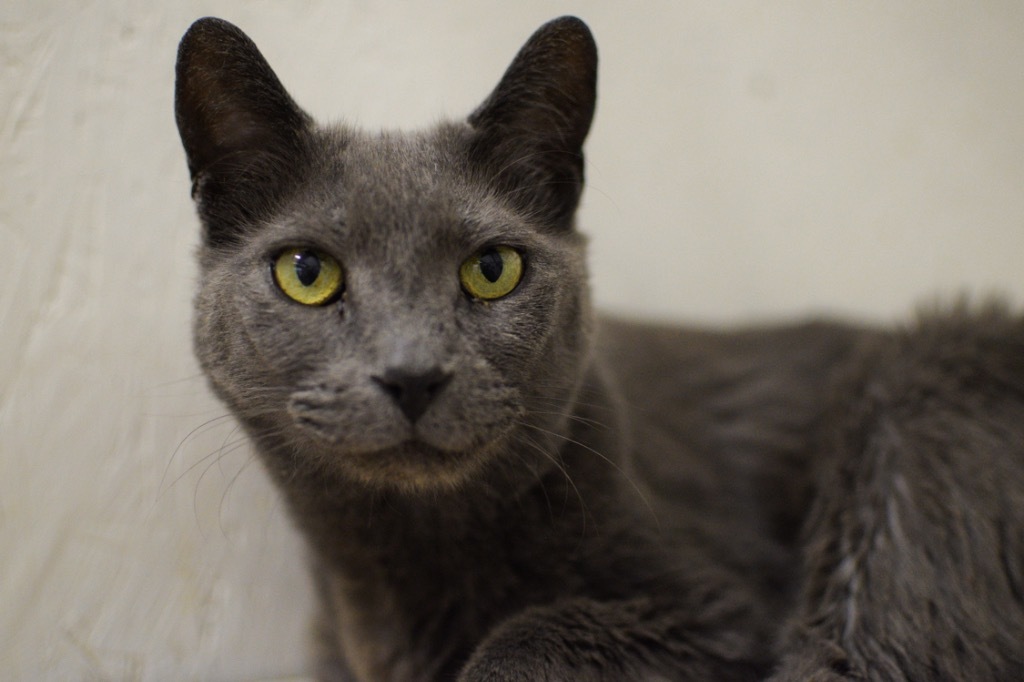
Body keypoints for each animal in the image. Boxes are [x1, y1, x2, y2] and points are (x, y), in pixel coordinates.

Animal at [176, 13, 1024, 675]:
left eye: (492, 269)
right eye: (307, 272)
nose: (412, 373)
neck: (402, 571)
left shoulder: (716, 610)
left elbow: (529, 639)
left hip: (912, 415)